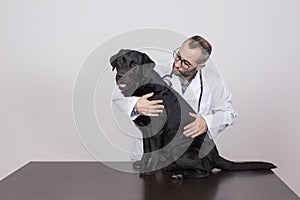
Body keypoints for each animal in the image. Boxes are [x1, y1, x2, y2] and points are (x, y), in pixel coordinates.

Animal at [110, 48, 276, 178]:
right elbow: (146, 150)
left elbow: (154, 152)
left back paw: (181, 174)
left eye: (135, 65)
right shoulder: (145, 130)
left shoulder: (157, 130)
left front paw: (150, 169)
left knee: (205, 171)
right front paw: (143, 164)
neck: (144, 87)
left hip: (180, 151)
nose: (120, 76)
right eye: (120, 62)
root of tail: (217, 157)